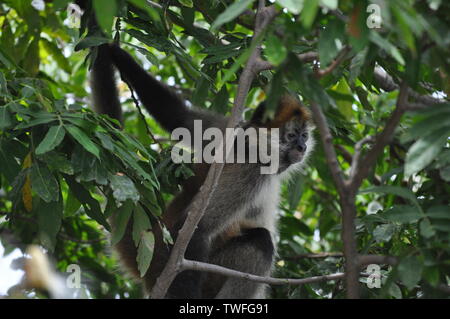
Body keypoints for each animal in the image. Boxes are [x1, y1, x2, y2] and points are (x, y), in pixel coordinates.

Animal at [90, 41, 314, 298]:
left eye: (304, 135)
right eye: (292, 136)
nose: (302, 147)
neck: (251, 147)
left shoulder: (229, 130)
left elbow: (181, 117)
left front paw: (116, 53)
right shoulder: (249, 170)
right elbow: (198, 229)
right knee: (260, 241)